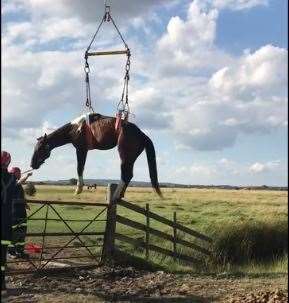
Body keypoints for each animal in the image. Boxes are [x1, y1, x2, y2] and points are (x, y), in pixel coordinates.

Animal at [31, 113, 162, 201]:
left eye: (40, 148)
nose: (32, 164)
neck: (76, 128)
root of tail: (142, 134)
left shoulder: (81, 149)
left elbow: (80, 168)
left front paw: (78, 189)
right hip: (131, 158)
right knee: (129, 175)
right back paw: (120, 195)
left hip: (124, 155)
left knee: (126, 175)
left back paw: (115, 196)